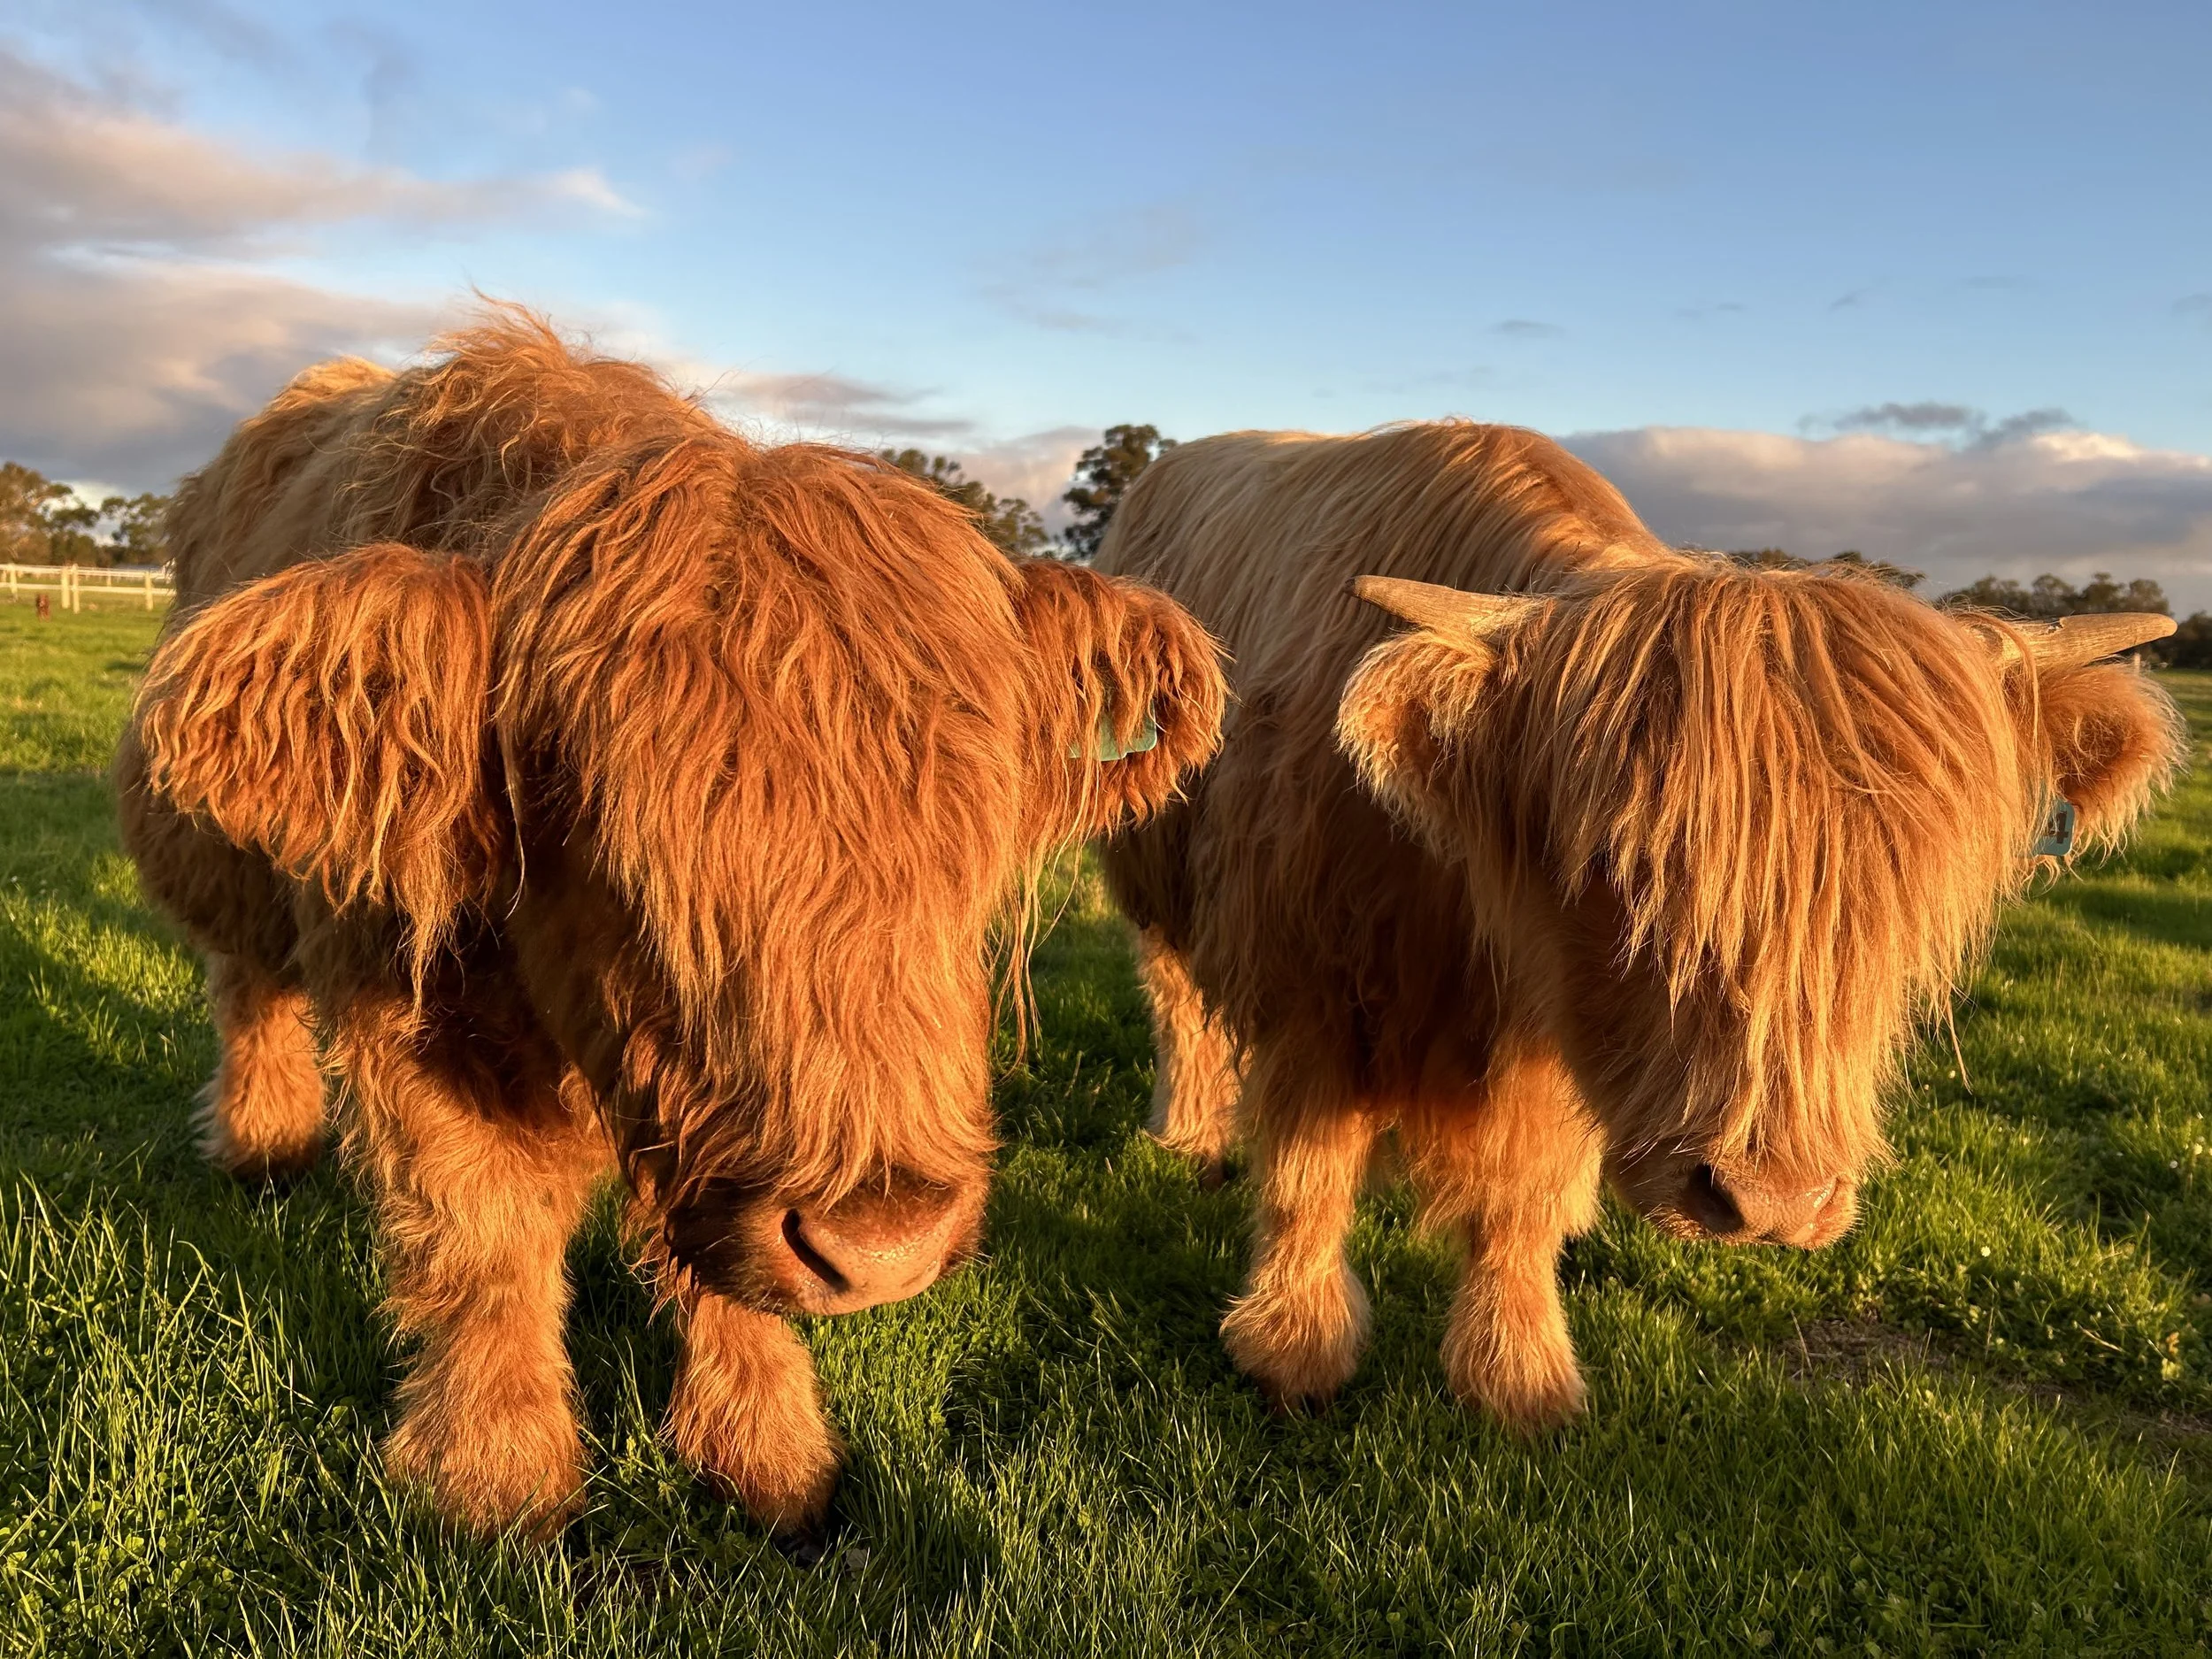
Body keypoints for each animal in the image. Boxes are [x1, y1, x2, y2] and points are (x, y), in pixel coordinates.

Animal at [116, 313, 1224, 1540]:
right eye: (593, 823)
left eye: (972, 837)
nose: (881, 1244)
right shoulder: (407, 1014)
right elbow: (480, 1240)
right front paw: (495, 1481)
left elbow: (726, 1275)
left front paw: (771, 1458)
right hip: (224, 878)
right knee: (248, 988)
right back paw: (262, 1147)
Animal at [1096, 421, 2179, 1431]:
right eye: (1620, 869)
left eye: (1911, 897)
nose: (1770, 1204)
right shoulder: (1314, 987)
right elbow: (1307, 1172)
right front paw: (1293, 1349)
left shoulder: (1553, 1043)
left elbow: (1523, 1198)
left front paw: (1517, 1379)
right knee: (1176, 999)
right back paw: (1186, 1138)